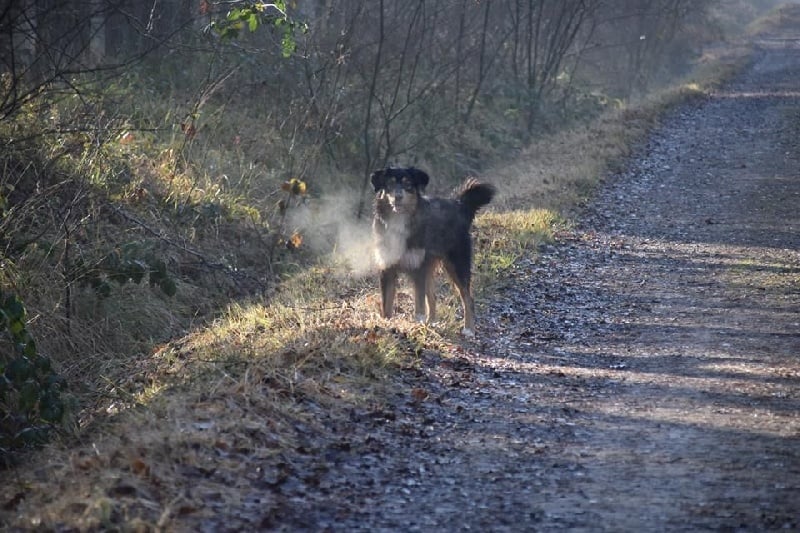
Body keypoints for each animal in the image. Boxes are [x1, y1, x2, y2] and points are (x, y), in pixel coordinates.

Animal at [371, 166, 496, 335]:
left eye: (408, 184)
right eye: (389, 184)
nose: (398, 197)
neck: (399, 223)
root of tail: (459, 204)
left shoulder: (417, 268)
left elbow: (419, 304)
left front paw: (417, 324)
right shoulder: (387, 268)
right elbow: (387, 305)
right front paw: (388, 325)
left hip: (457, 264)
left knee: (468, 298)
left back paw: (469, 329)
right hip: (430, 264)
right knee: (433, 296)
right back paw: (431, 322)